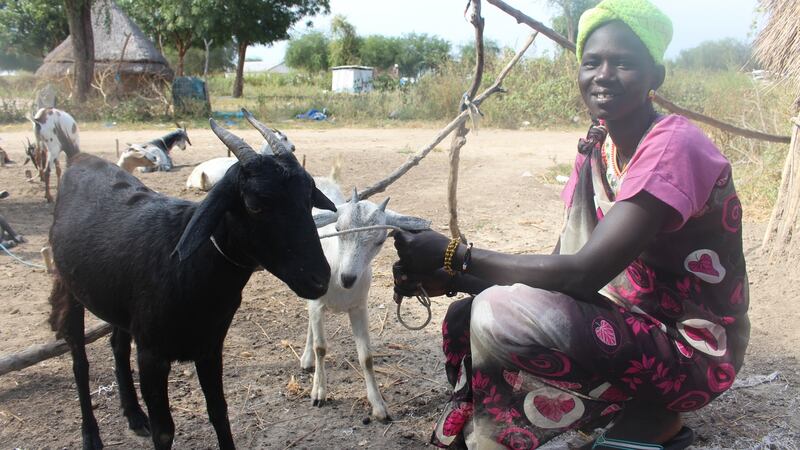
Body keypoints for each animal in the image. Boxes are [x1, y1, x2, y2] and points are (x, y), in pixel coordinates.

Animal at [48, 109, 335, 450]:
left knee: (117, 344)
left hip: (118, 303)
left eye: (309, 197)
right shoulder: (152, 356)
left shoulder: (210, 345)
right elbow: (165, 431)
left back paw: (134, 415)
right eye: (254, 205)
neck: (190, 270)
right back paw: (91, 435)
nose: (320, 279)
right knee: (80, 361)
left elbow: (219, 410)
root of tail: (77, 157)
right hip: (71, 289)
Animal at [304, 174, 430, 422]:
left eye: (380, 240)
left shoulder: (359, 307)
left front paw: (379, 407)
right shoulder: (317, 303)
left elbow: (367, 358)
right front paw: (319, 393)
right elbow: (321, 348)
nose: (348, 278)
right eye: (338, 228)